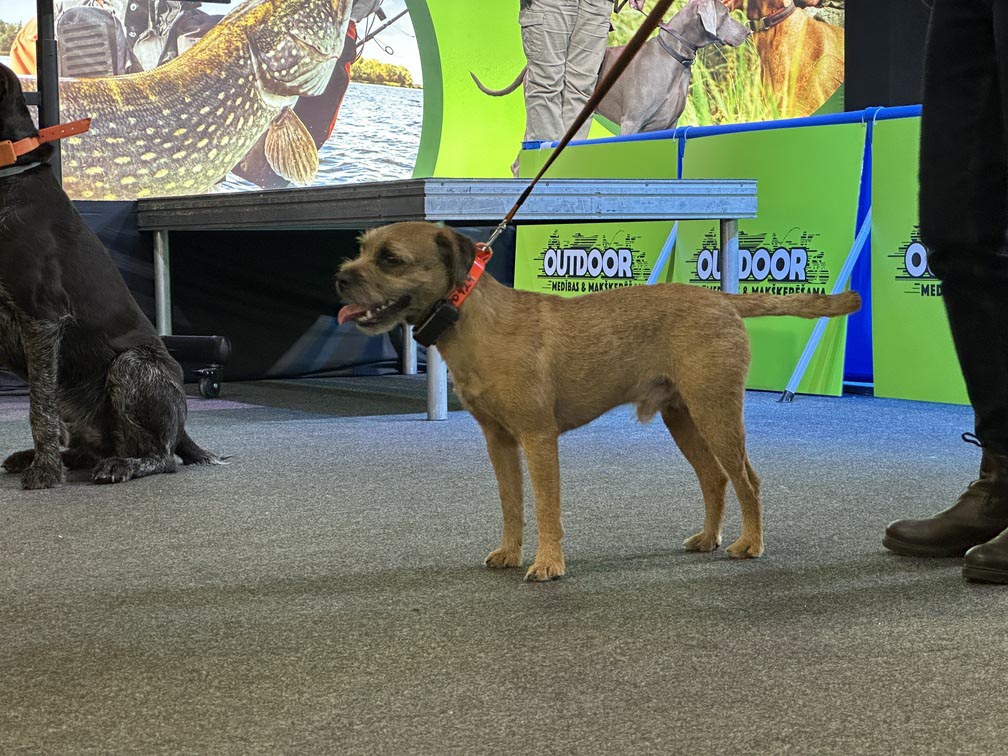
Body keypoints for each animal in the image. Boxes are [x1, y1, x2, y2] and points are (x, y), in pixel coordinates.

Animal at [0, 63, 221, 489]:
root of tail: (184, 431)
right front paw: (44, 462)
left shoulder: (41, 316)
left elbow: (40, 410)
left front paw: (46, 471)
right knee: (89, 447)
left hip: (132, 365)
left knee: (161, 457)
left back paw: (121, 465)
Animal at [335, 222, 860, 581]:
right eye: (362, 250)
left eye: (391, 259)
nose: (340, 278)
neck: (473, 318)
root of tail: (724, 301)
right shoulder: (499, 442)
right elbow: (511, 503)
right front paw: (509, 552)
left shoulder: (538, 438)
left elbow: (546, 506)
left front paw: (548, 563)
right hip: (683, 417)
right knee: (714, 479)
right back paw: (709, 538)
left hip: (718, 413)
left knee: (748, 479)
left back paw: (749, 544)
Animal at [473, 0, 750, 135]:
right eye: (726, 13)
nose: (748, 31)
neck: (674, 56)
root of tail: (529, 67)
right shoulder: (631, 122)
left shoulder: (668, 126)